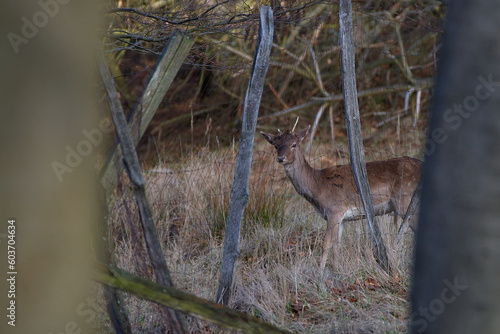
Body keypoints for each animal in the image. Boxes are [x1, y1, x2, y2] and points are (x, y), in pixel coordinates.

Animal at [262, 125, 422, 272]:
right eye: (276, 145)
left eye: (294, 144)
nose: (281, 158)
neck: (316, 187)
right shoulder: (342, 218)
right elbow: (336, 246)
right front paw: (337, 269)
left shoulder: (334, 210)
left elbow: (326, 244)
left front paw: (320, 273)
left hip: (404, 200)